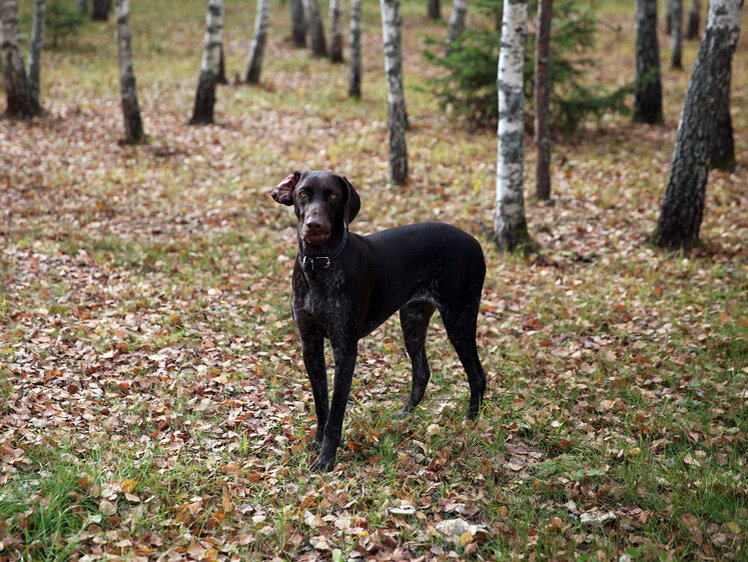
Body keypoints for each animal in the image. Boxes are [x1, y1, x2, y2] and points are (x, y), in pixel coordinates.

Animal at [272, 170, 488, 468]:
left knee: (477, 374)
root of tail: (474, 241)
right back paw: (404, 415)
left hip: (459, 318)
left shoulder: (345, 349)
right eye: (303, 193)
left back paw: (471, 422)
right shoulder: (310, 344)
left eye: (333, 195)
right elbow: (321, 404)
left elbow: (336, 411)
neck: (320, 262)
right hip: (413, 318)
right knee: (422, 372)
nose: (314, 225)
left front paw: (326, 459)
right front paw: (316, 445)